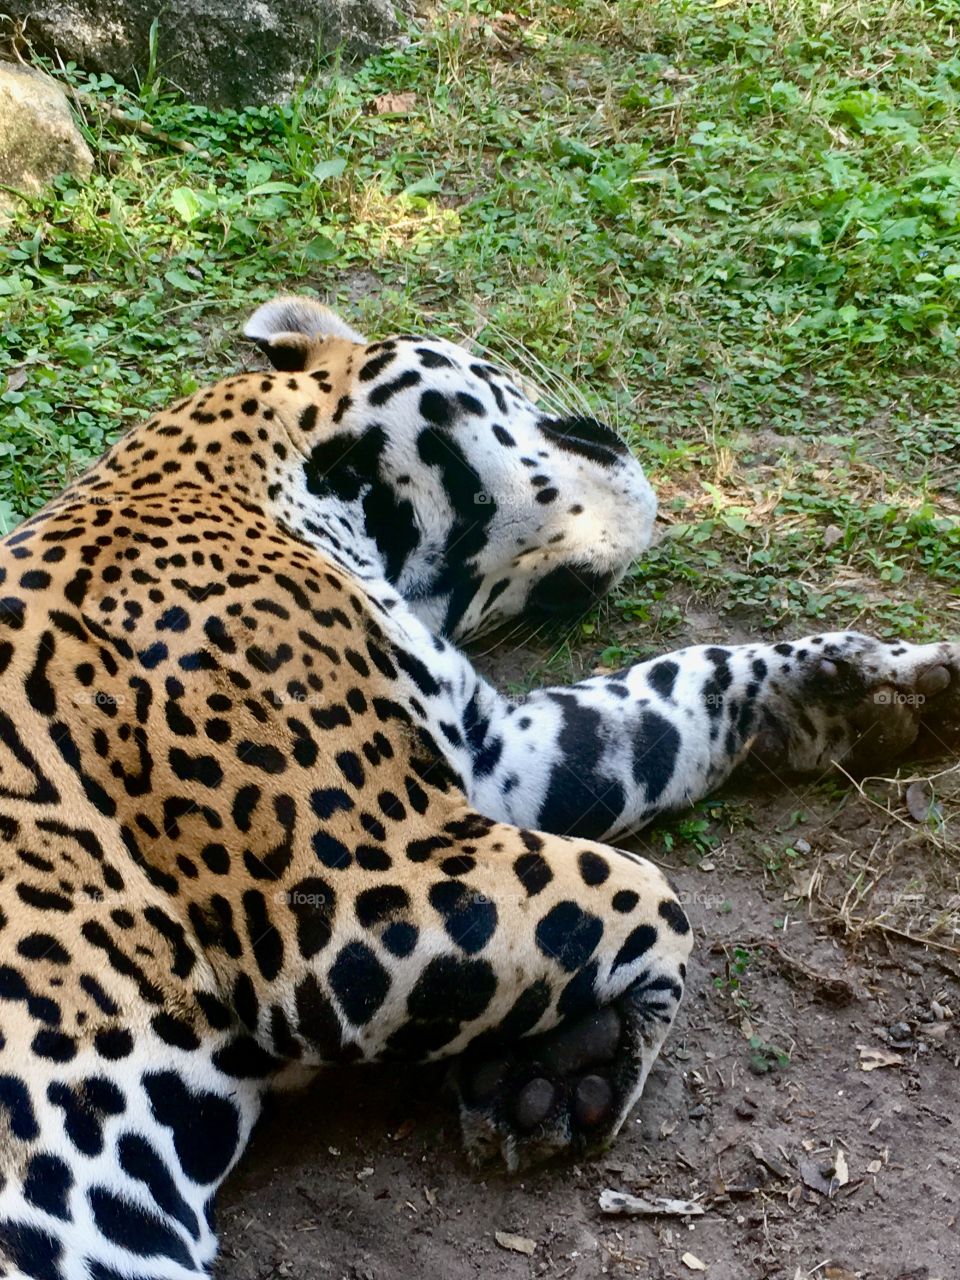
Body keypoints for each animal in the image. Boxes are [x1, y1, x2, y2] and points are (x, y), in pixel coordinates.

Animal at [0, 293, 957, 1280]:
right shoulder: (358, 884)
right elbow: (644, 889)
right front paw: (575, 1058)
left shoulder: (493, 754)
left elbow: (658, 705)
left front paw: (873, 690)